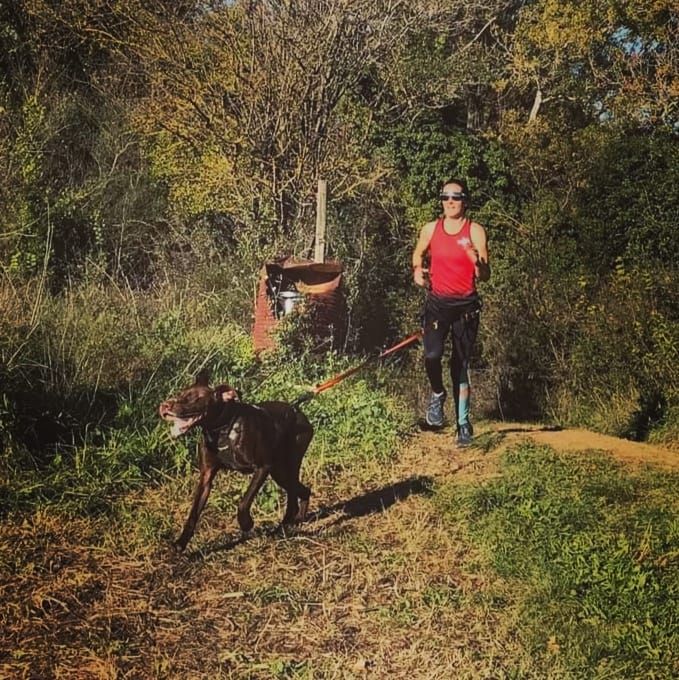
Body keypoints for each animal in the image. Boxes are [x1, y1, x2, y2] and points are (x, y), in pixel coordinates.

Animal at [161, 370, 314, 548]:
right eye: (180, 394)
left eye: (195, 398)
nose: (164, 406)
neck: (223, 431)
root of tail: (297, 411)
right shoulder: (206, 477)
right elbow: (193, 514)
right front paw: (181, 542)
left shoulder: (262, 467)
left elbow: (244, 502)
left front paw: (246, 523)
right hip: (280, 471)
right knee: (299, 493)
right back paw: (290, 523)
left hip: (283, 468)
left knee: (299, 492)